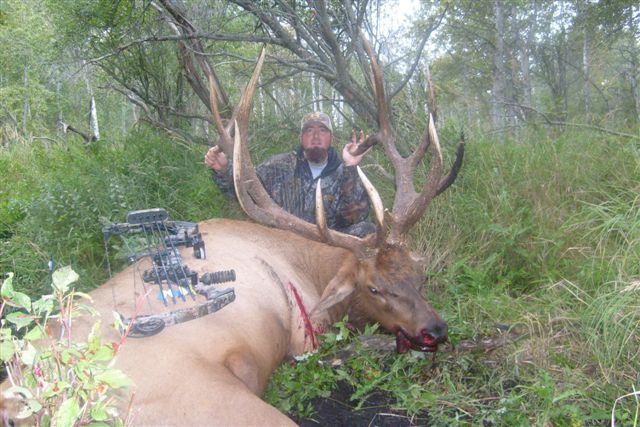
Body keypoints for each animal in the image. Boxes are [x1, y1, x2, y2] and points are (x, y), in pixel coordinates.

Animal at [1, 43, 463, 426]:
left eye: (419, 277)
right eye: (374, 288)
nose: (435, 330)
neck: (309, 267)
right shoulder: (304, 337)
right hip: (220, 404)